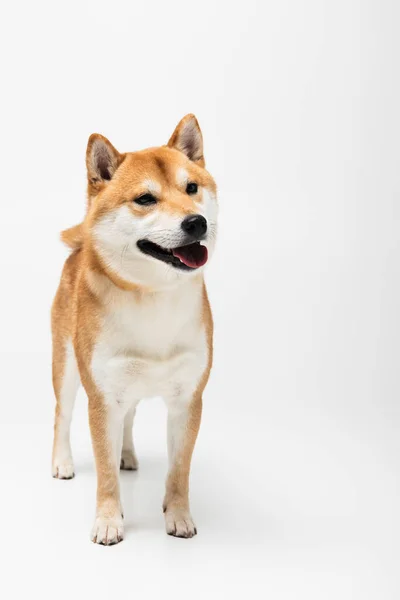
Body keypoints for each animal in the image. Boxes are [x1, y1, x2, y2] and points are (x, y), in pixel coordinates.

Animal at [52, 115, 219, 548]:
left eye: (191, 188)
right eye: (145, 199)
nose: (196, 222)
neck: (154, 298)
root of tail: (80, 248)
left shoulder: (187, 400)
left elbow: (179, 472)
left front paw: (178, 516)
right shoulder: (102, 398)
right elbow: (104, 473)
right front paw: (109, 521)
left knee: (128, 420)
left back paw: (127, 456)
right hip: (68, 369)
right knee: (62, 414)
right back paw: (62, 462)